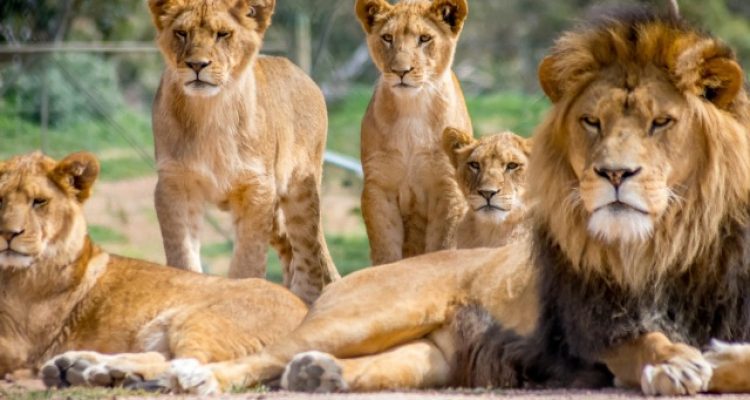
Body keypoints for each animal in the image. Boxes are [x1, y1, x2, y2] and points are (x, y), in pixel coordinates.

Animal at [0, 151, 306, 388]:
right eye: (1, 199)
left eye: (39, 202)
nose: (8, 233)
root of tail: (306, 309)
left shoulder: (20, 344)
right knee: (166, 357)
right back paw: (83, 368)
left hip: (199, 319)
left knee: (192, 362)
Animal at [148, 0, 339, 303]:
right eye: (181, 33)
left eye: (223, 34)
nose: (197, 65)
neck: (209, 112)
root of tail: (303, 74)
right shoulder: (174, 184)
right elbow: (182, 255)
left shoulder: (257, 188)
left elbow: (247, 261)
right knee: (289, 248)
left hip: (300, 189)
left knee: (308, 254)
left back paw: (303, 300)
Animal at [357, 0, 472, 265]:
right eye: (387, 37)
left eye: (425, 38)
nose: (401, 71)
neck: (412, 108)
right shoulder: (379, 186)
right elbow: (385, 249)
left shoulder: (448, 188)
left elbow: (442, 246)